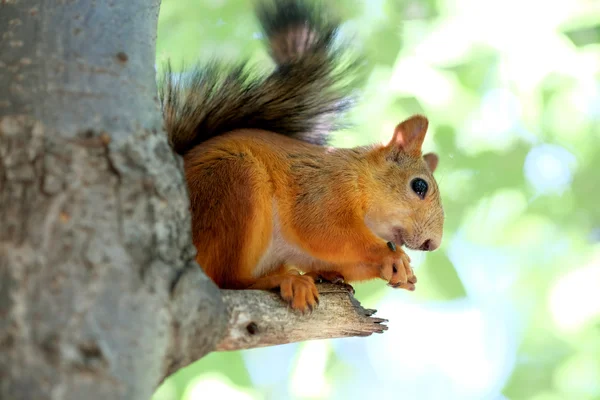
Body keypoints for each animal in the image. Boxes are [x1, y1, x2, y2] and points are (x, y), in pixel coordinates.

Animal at [159, 0, 446, 312]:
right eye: (419, 186)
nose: (432, 244)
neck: (361, 178)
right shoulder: (321, 189)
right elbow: (322, 230)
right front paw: (389, 256)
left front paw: (402, 273)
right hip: (234, 183)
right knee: (226, 278)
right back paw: (283, 281)